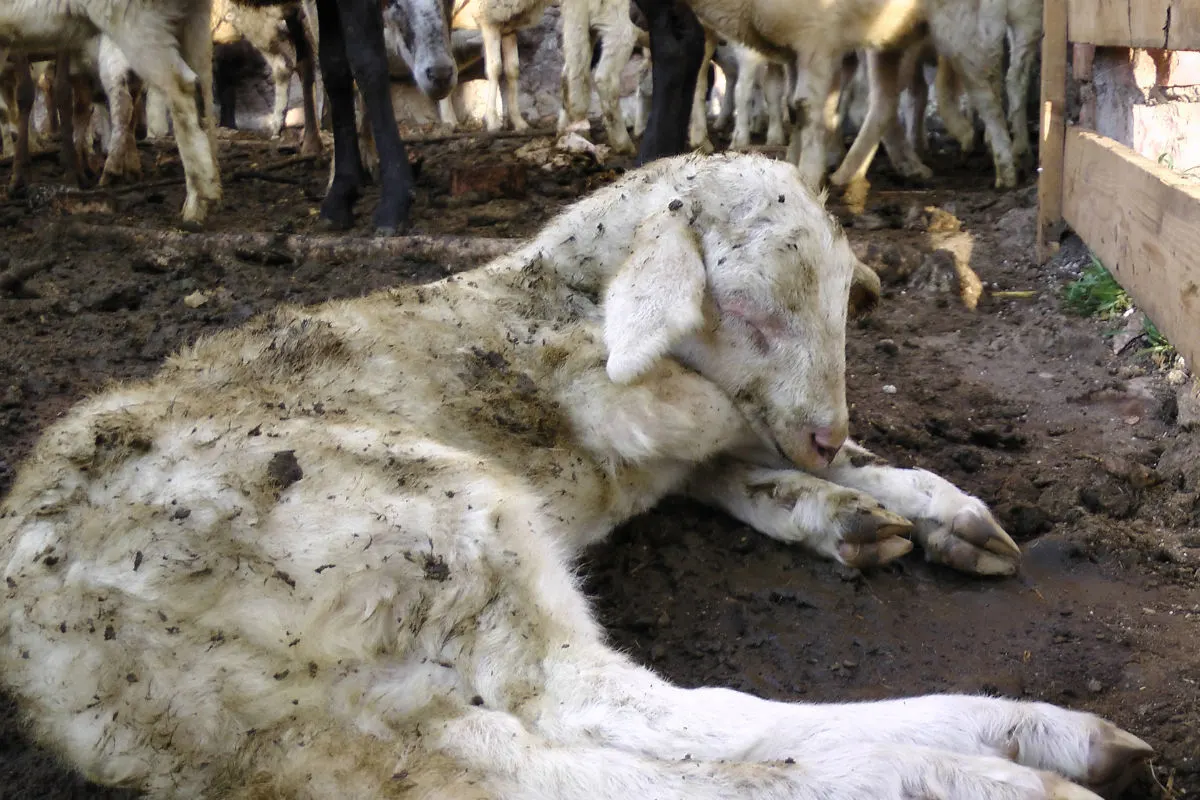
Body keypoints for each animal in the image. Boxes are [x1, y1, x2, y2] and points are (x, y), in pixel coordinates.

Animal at [0, 152, 1153, 800]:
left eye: (839, 308)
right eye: (750, 305)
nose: (829, 433)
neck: (554, 293)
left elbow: (743, 460)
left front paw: (902, 506)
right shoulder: (619, 398)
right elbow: (720, 425)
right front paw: (843, 495)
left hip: (362, 657)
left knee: (515, 758)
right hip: (421, 514)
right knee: (616, 705)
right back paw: (983, 760)